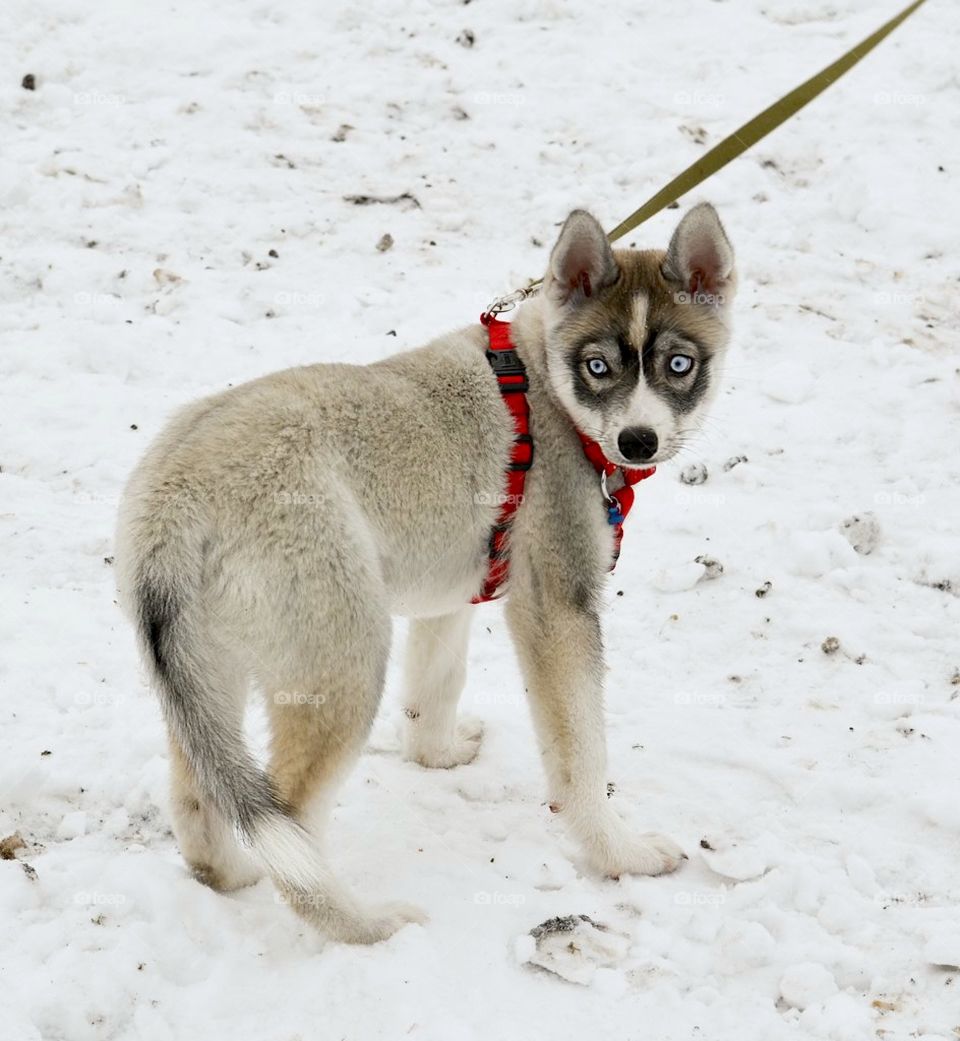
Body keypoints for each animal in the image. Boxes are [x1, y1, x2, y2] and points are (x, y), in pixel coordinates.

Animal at [117, 202, 733, 945]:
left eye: (679, 363)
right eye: (597, 366)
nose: (637, 442)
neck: (547, 391)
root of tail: (176, 497)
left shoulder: (453, 595)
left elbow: (435, 685)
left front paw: (436, 755)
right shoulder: (557, 609)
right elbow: (582, 758)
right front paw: (621, 854)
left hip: (208, 671)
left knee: (201, 797)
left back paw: (232, 877)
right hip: (345, 659)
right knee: (292, 821)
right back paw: (364, 926)